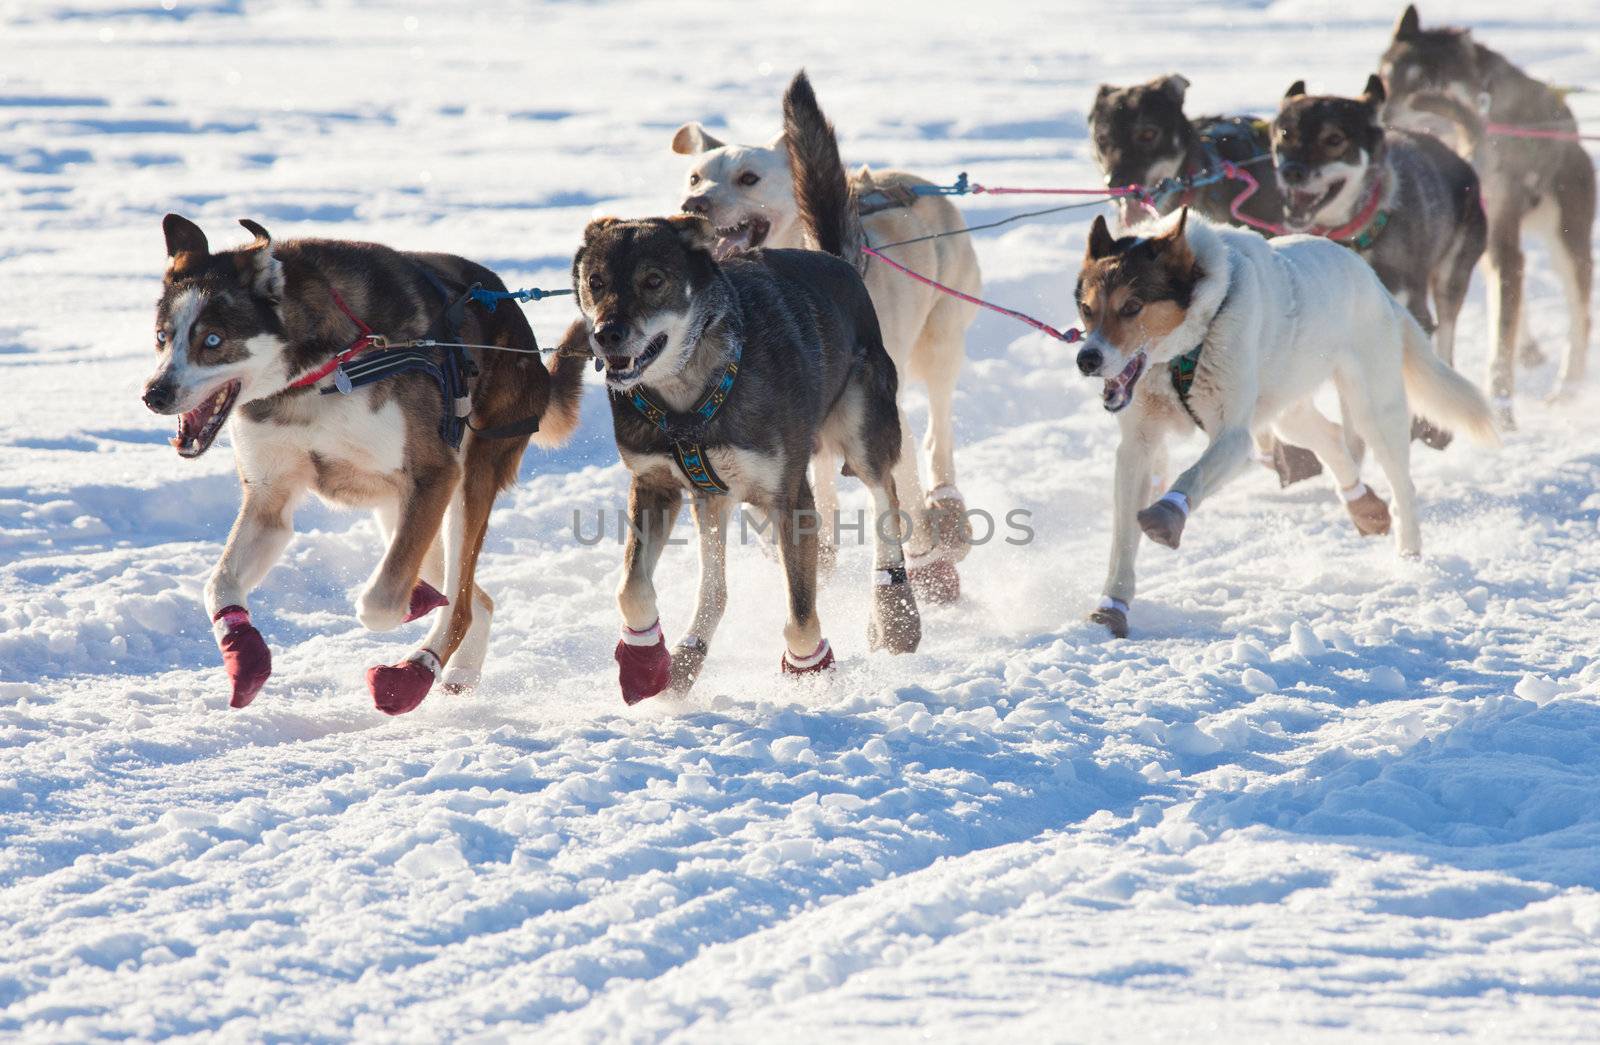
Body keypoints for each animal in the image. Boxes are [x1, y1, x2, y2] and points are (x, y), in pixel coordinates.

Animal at [142, 216, 582, 713]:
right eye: (162, 337)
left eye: (212, 340)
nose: (154, 394)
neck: (316, 375)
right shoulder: (270, 497)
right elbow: (217, 584)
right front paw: (244, 657)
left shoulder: (435, 473)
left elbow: (380, 602)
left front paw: (411, 607)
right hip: (399, 513)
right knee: (475, 600)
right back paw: (460, 670)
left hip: (465, 487)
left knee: (460, 605)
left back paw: (413, 672)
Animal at [668, 82, 979, 601]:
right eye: (694, 178)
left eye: (748, 178)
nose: (693, 205)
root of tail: (914, 182)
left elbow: (900, 486)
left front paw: (924, 559)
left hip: (941, 343)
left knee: (937, 432)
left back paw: (945, 502)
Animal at [1075, 206, 1497, 636]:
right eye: (1087, 309)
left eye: (1132, 306)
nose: (1087, 358)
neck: (1186, 349)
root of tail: (1373, 283)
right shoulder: (1138, 446)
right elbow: (1123, 537)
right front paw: (1112, 606)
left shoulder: (1233, 437)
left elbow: (1190, 476)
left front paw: (1167, 515)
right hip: (1286, 413)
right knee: (1331, 437)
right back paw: (1361, 504)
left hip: (1374, 409)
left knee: (1402, 485)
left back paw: (1409, 555)